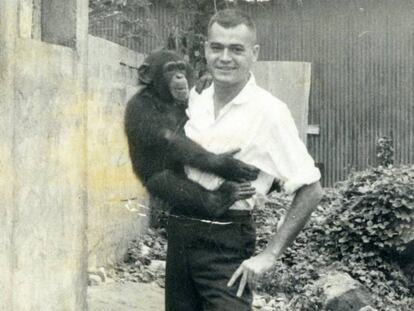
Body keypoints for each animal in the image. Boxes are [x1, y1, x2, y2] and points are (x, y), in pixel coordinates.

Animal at [123, 50, 258, 219]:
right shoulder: (140, 106)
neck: (163, 98)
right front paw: (224, 164)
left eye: (181, 67)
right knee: (162, 179)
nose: (179, 76)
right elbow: (167, 137)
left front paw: (206, 80)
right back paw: (220, 200)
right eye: (170, 69)